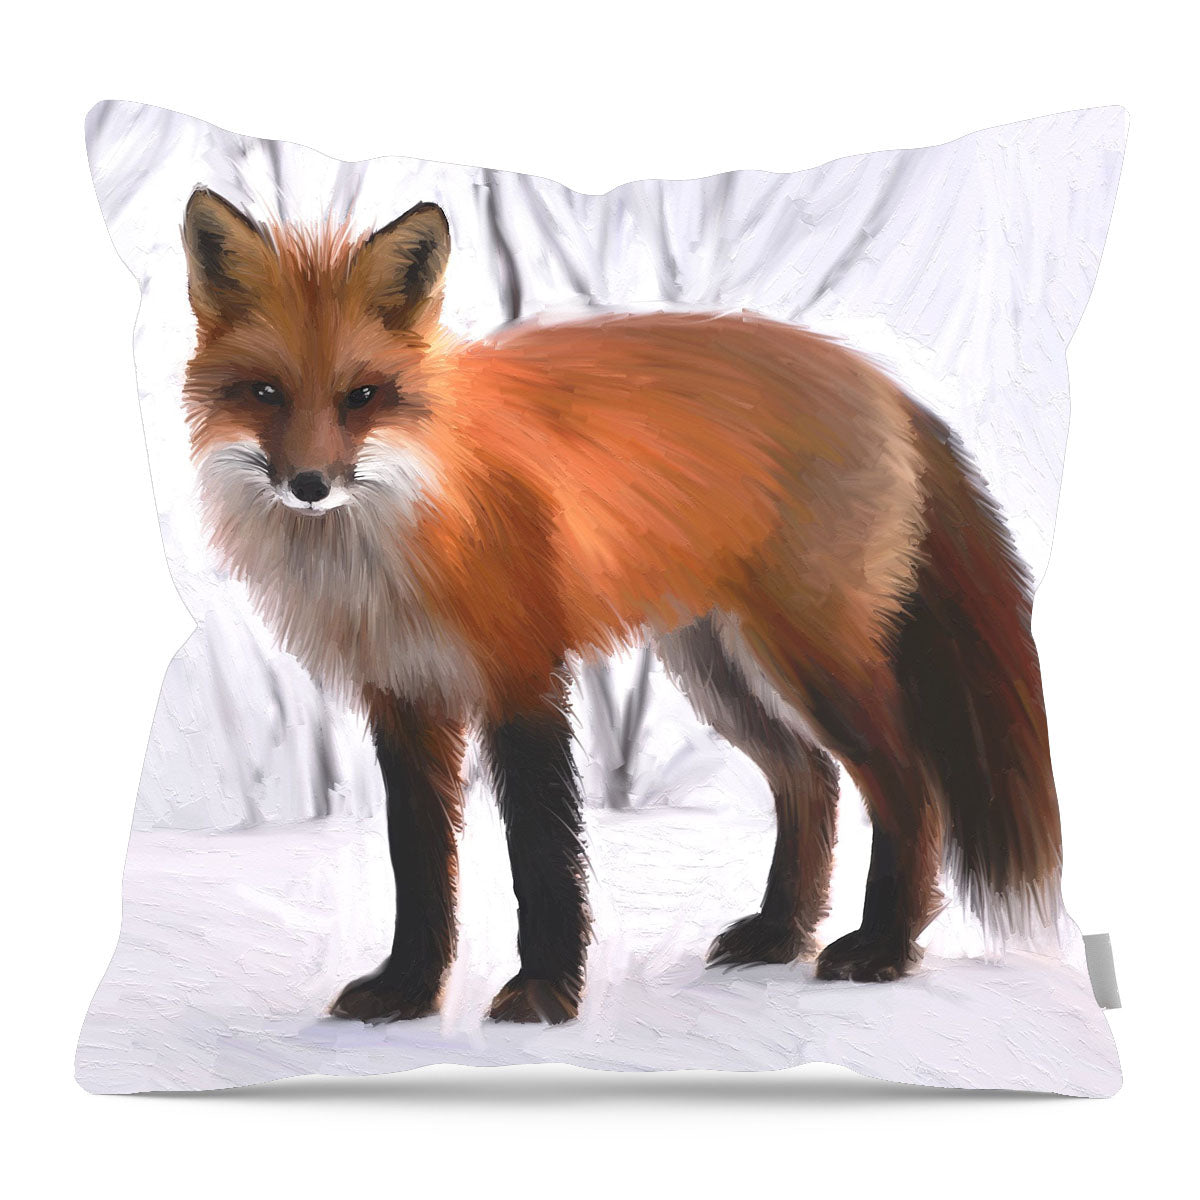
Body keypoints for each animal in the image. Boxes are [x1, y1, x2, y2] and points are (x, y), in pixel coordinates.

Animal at [181, 187, 1063, 1025]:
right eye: (265, 393)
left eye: (362, 395)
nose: (309, 485)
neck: (400, 537)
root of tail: (878, 378)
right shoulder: (402, 697)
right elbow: (420, 863)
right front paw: (407, 992)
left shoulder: (522, 676)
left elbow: (541, 854)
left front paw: (543, 996)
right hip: (714, 668)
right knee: (809, 778)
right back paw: (781, 934)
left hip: (815, 660)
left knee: (909, 786)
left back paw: (882, 947)